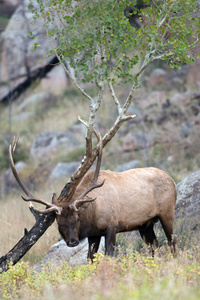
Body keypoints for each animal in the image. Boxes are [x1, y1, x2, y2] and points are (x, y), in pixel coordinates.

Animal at [9, 127, 177, 262]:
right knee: (154, 246)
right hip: (145, 224)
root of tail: (172, 181)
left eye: (77, 218)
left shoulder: (112, 226)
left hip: (167, 212)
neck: (93, 213)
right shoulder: (94, 234)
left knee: (172, 241)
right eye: (59, 223)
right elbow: (91, 259)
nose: (72, 242)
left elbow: (108, 255)